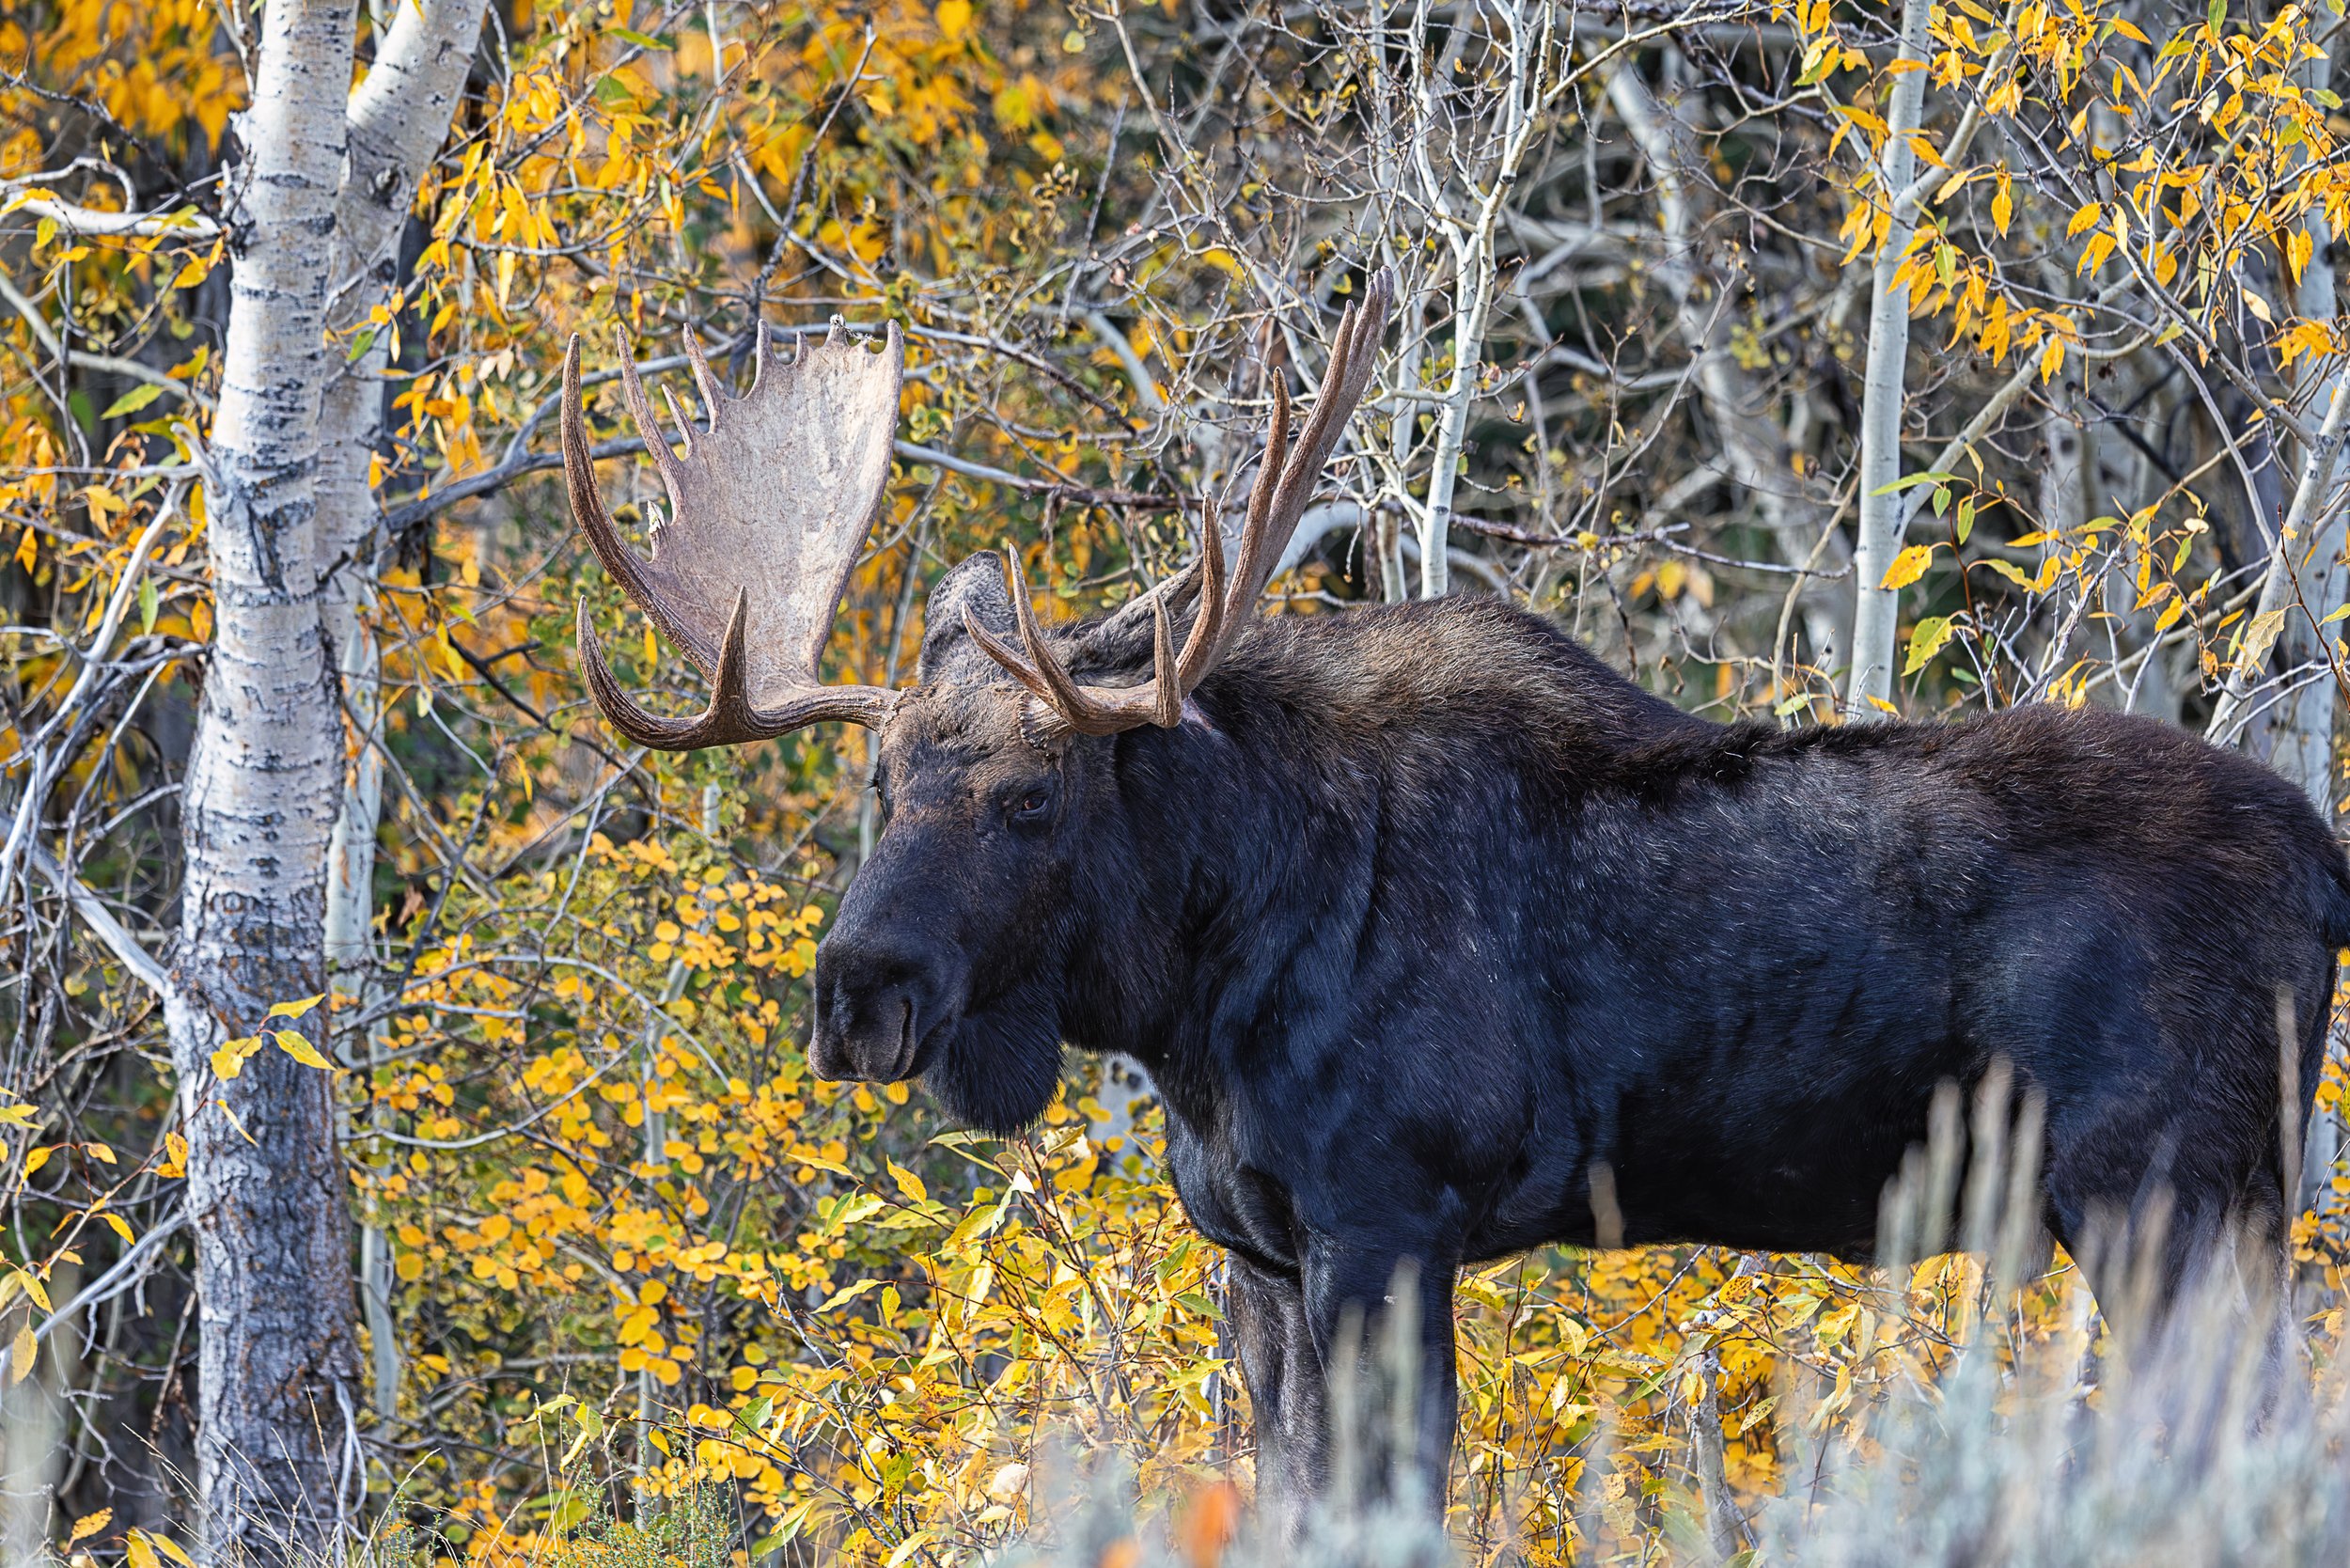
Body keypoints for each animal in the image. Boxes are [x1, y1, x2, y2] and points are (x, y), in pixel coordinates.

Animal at [559, 275, 2350, 1531]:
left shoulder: (1389, 1218)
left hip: (2171, 1191)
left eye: (1031, 797)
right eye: (875, 785)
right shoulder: (1260, 1253)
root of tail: (2329, 869)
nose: (859, 986)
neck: (1193, 997)